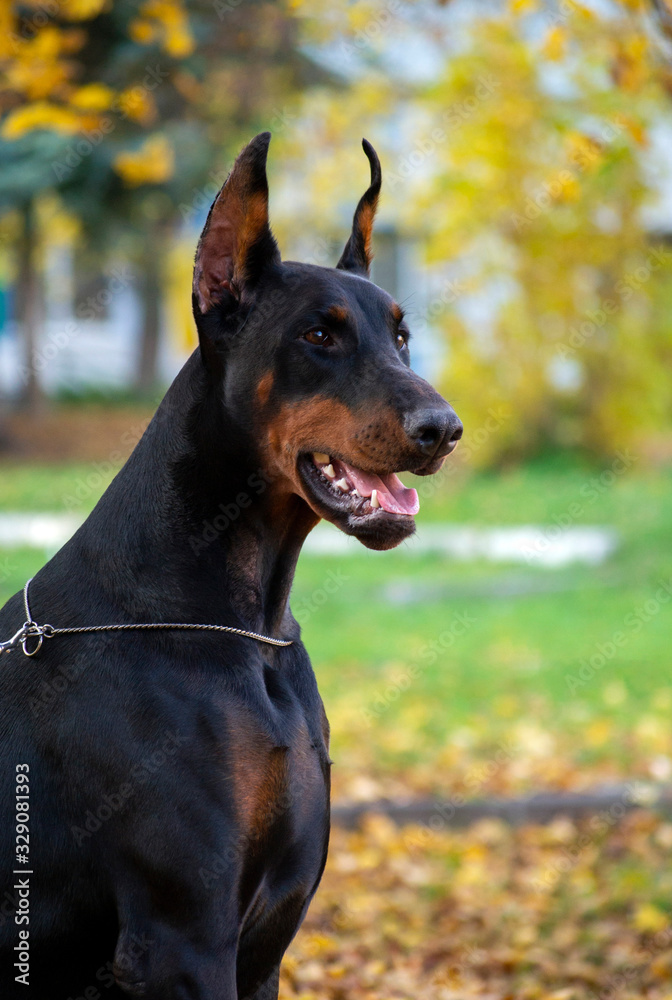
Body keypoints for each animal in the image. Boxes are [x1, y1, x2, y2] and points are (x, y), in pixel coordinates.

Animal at [0, 135, 462, 1000]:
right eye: (319, 336)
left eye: (402, 336)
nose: (444, 429)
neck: (247, 629)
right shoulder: (185, 937)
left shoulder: (266, 945)